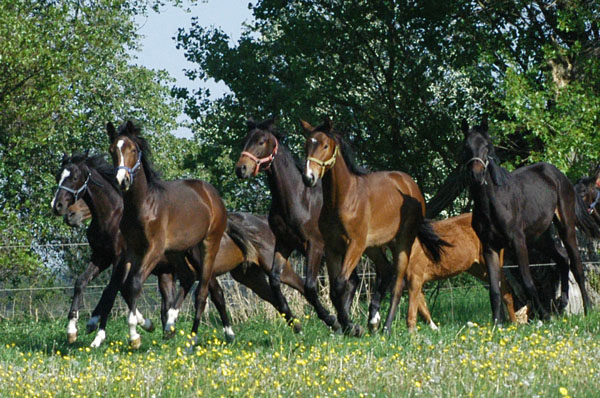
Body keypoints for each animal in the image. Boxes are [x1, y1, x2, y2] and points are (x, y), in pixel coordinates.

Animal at [105, 120, 227, 348]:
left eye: (133, 149)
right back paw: (170, 323)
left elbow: (135, 283)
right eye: (112, 151)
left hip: (207, 246)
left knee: (202, 291)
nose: (122, 180)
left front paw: (134, 335)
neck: (143, 206)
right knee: (188, 277)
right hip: (178, 251)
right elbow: (126, 285)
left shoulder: (154, 249)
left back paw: (193, 337)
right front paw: (145, 326)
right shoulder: (132, 251)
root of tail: (210, 193)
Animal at [234, 118, 394, 336]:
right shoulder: (284, 243)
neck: (298, 199)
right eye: (245, 140)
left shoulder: (315, 246)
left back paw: (363, 322)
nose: (241, 169)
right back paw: (351, 324)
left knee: (379, 272)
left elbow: (310, 286)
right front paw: (295, 322)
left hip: (367, 246)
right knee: (356, 279)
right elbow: (275, 280)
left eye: (261, 141)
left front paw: (330, 319)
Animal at [302, 119, 448, 334]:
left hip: (402, 243)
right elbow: (334, 289)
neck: (343, 198)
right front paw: (346, 326)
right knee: (386, 270)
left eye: (325, 146)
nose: (308, 177)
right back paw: (373, 320)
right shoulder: (332, 247)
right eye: (307, 145)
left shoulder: (355, 245)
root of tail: (410, 185)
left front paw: (350, 326)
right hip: (374, 246)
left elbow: (340, 284)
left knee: (398, 284)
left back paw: (386, 327)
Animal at [462, 119, 596, 324]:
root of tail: (560, 176)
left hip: (565, 227)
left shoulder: (517, 242)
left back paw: (587, 309)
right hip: (539, 238)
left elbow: (527, 281)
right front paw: (496, 323)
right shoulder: (489, 247)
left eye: (486, 146)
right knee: (562, 258)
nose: (476, 175)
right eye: (466, 147)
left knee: (576, 264)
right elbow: (494, 288)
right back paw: (562, 304)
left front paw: (545, 316)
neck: (493, 203)